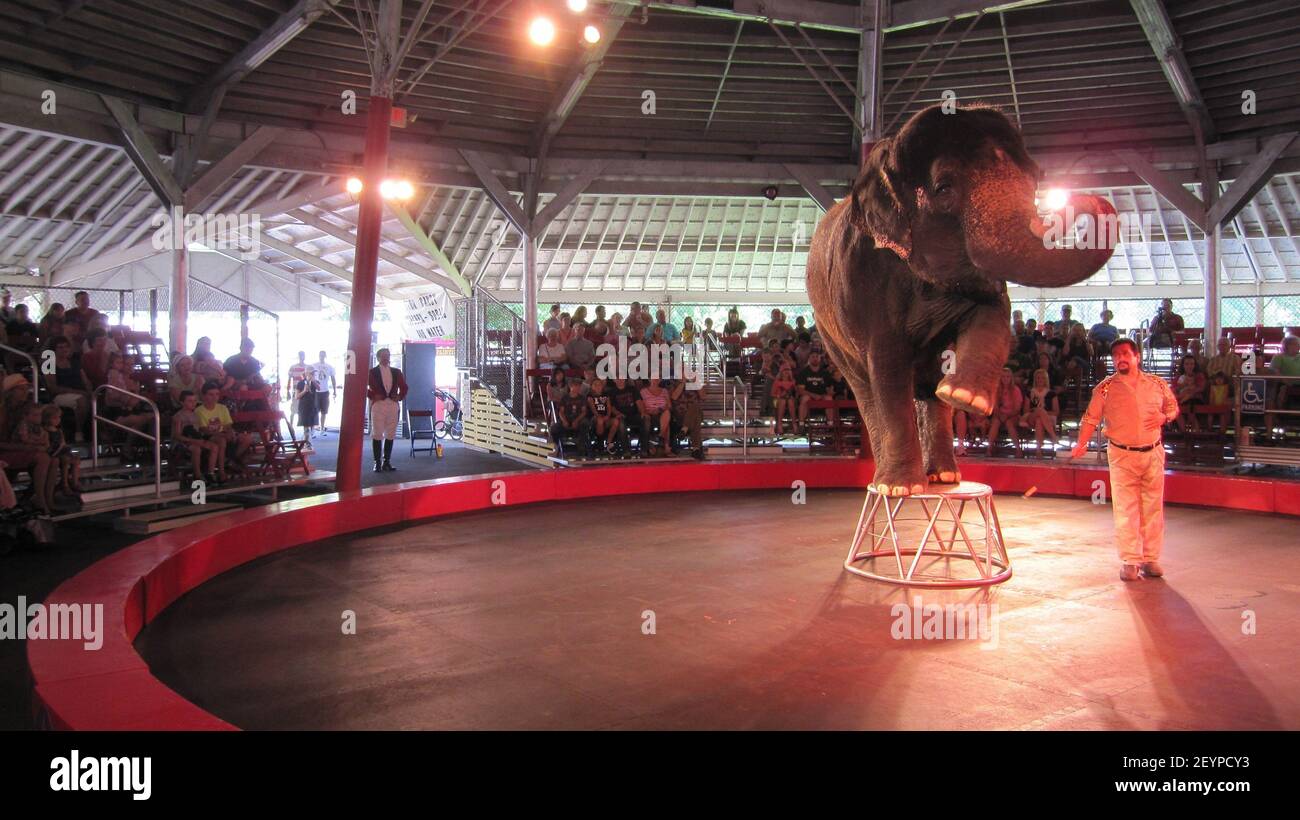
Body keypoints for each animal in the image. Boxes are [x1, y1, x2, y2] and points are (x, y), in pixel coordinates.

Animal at [800, 102, 1118, 493]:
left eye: (1035, 181)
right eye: (944, 188)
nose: (1080, 198)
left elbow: (996, 308)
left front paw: (965, 397)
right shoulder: (864, 277)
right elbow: (887, 361)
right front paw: (901, 489)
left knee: (927, 386)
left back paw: (944, 474)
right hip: (830, 333)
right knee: (866, 389)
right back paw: (889, 482)